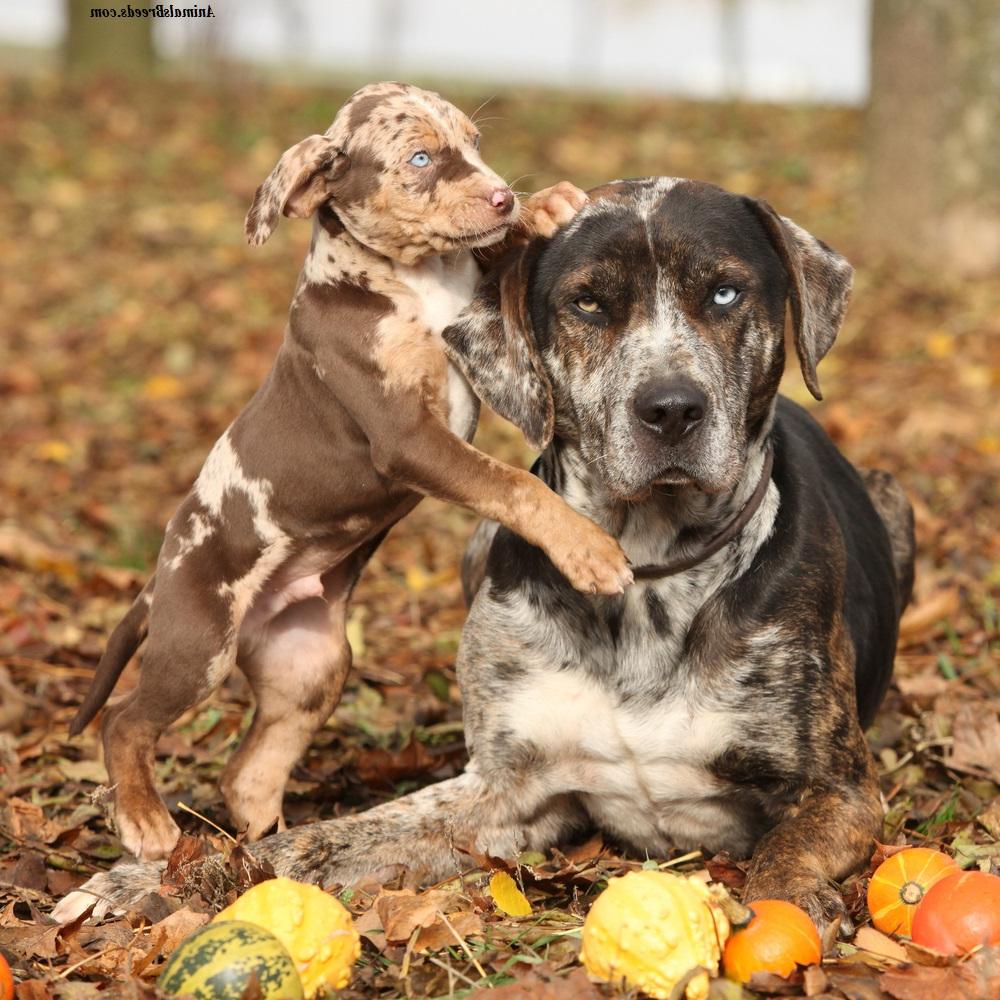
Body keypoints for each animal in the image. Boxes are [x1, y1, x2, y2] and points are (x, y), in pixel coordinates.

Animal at [68, 84, 632, 868]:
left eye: (474, 141)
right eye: (420, 159)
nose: (501, 196)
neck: (416, 280)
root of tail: (158, 577)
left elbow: (491, 259)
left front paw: (546, 207)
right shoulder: (405, 436)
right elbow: (516, 486)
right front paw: (589, 551)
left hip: (312, 665)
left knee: (248, 772)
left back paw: (271, 851)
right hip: (198, 647)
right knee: (124, 721)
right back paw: (146, 820)